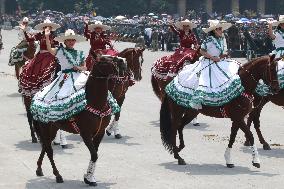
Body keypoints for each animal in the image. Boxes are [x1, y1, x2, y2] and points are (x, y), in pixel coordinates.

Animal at [32, 56, 126, 186]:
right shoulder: (85, 134)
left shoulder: (100, 132)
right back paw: (58, 175)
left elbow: (94, 154)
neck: (95, 102)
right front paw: (89, 178)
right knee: (49, 150)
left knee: (45, 147)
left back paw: (39, 169)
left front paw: (89, 177)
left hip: (53, 128)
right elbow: (94, 155)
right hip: (45, 127)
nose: (123, 61)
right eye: (104, 59)